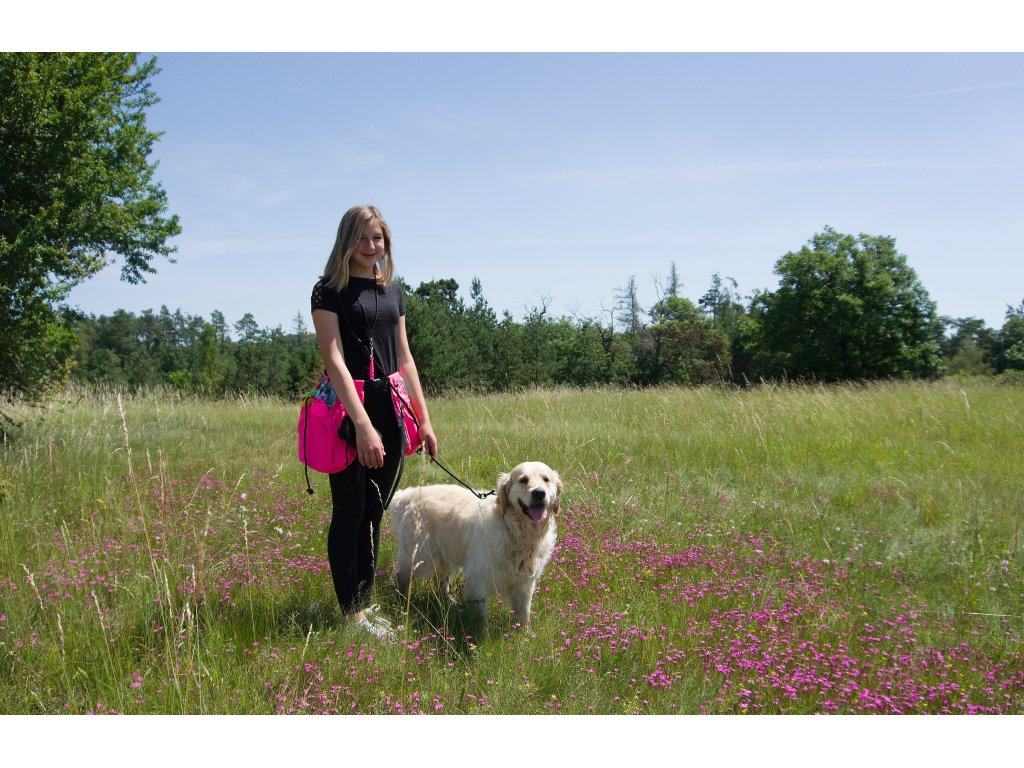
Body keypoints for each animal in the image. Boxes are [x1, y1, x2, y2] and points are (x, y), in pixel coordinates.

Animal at [387, 462, 561, 626]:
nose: (539, 493)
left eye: (546, 479)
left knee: (441, 579)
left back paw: (449, 601)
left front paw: (523, 633)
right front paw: (480, 632)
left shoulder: (525, 583)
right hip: (420, 556)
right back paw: (402, 602)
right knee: (403, 576)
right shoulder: (478, 578)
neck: (517, 531)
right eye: (523, 480)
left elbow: (523, 613)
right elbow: (480, 615)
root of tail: (410, 494)